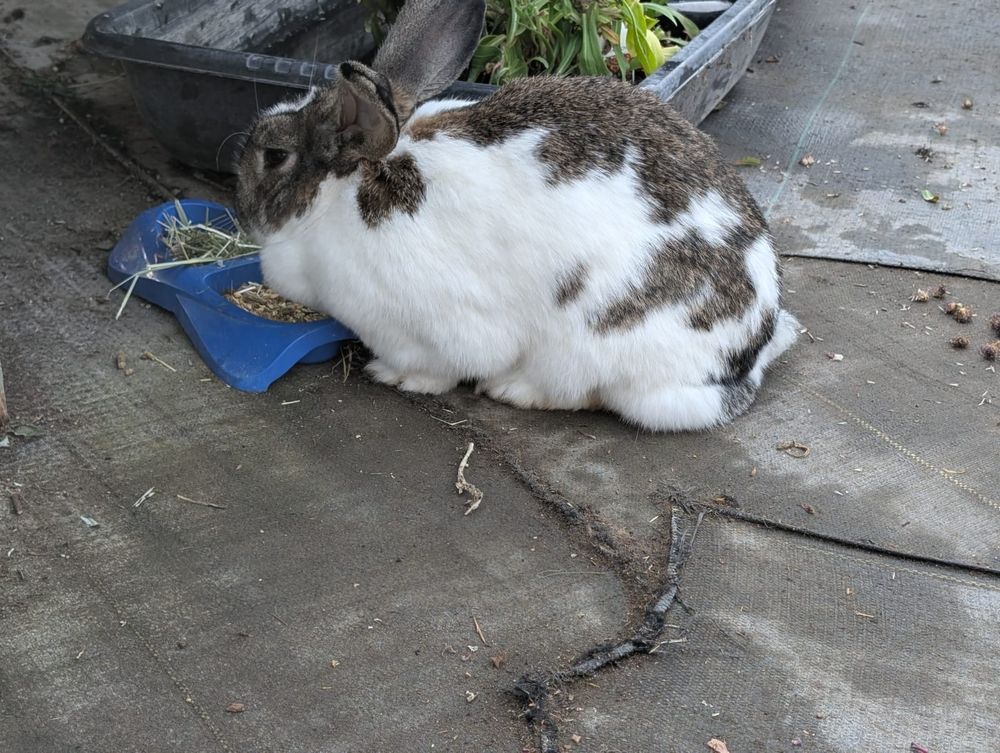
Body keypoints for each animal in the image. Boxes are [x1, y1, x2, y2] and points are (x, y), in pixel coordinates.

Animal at [235, 0, 799, 431]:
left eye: (274, 156)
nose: (240, 214)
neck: (342, 194)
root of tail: (747, 354)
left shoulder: (435, 327)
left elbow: (440, 366)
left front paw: (393, 376)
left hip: (597, 352)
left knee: (582, 392)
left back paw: (514, 390)